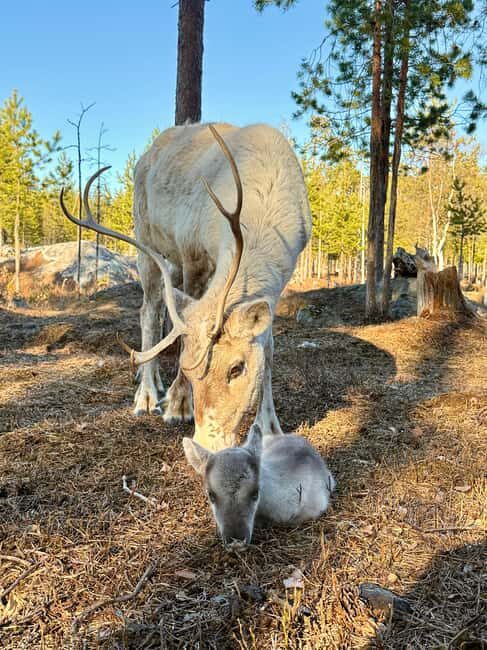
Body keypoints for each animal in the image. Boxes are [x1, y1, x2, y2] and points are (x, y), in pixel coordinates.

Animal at [60, 122, 311, 451]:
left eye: (237, 368)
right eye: (190, 372)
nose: (206, 445)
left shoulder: (281, 280)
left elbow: (267, 348)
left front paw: (270, 427)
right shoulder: (192, 252)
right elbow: (183, 332)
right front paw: (178, 405)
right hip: (146, 239)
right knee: (149, 310)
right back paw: (147, 394)